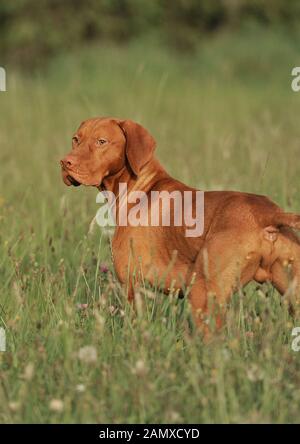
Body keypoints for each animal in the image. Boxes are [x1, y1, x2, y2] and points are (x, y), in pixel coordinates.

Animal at [59, 118, 300, 330]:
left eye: (101, 141)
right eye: (75, 139)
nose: (64, 162)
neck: (140, 186)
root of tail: (268, 213)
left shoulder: (133, 286)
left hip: (202, 296)